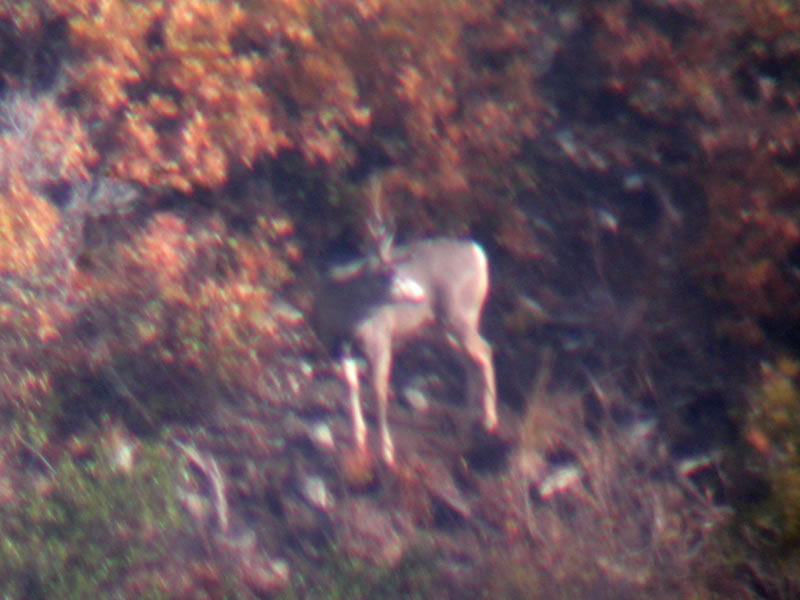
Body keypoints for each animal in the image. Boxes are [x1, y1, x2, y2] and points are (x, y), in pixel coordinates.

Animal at [312, 226, 498, 465]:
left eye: (399, 274)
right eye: (392, 278)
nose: (420, 296)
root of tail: (479, 254)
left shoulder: (380, 340)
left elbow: (379, 390)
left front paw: (386, 452)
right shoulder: (339, 347)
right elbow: (350, 385)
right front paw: (358, 442)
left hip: (461, 315)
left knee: (484, 351)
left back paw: (489, 421)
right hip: (443, 326)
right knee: (471, 359)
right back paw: (465, 425)